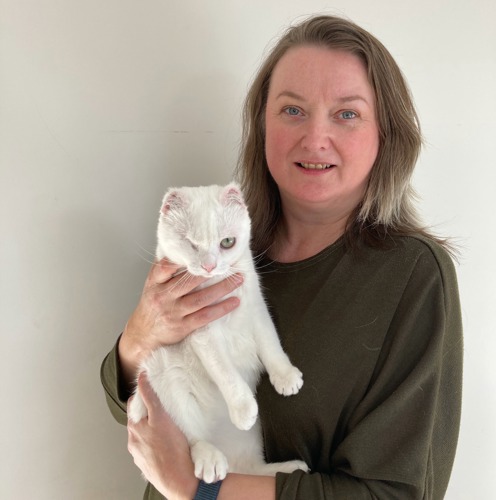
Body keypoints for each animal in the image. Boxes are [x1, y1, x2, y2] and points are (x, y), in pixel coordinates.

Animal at [126, 184, 308, 484]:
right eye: (191, 244)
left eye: (227, 242)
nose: (209, 266)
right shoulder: (203, 333)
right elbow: (225, 371)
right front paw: (242, 406)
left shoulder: (256, 309)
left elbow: (270, 344)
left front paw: (285, 376)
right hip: (162, 372)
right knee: (190, 437)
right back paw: (209, 457)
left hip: (250, 440)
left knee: (248, 468)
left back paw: (288, 468)